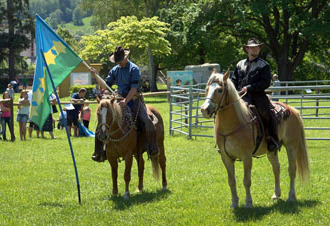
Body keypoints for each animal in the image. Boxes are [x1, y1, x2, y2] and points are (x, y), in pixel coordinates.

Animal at [200, 70, 310, 208]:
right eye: (207, 89)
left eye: (219, 90)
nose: (204, 109)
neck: (235, 124)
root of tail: (292, 110)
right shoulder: (226, 158)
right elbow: (231, 181)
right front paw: (234, 203)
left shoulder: (246, 157)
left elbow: (246, 181)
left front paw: (248, 203)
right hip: (272, 151)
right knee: (276, 168)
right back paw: (276, 194)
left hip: (291, 146)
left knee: (291, 170)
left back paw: (291, 196)